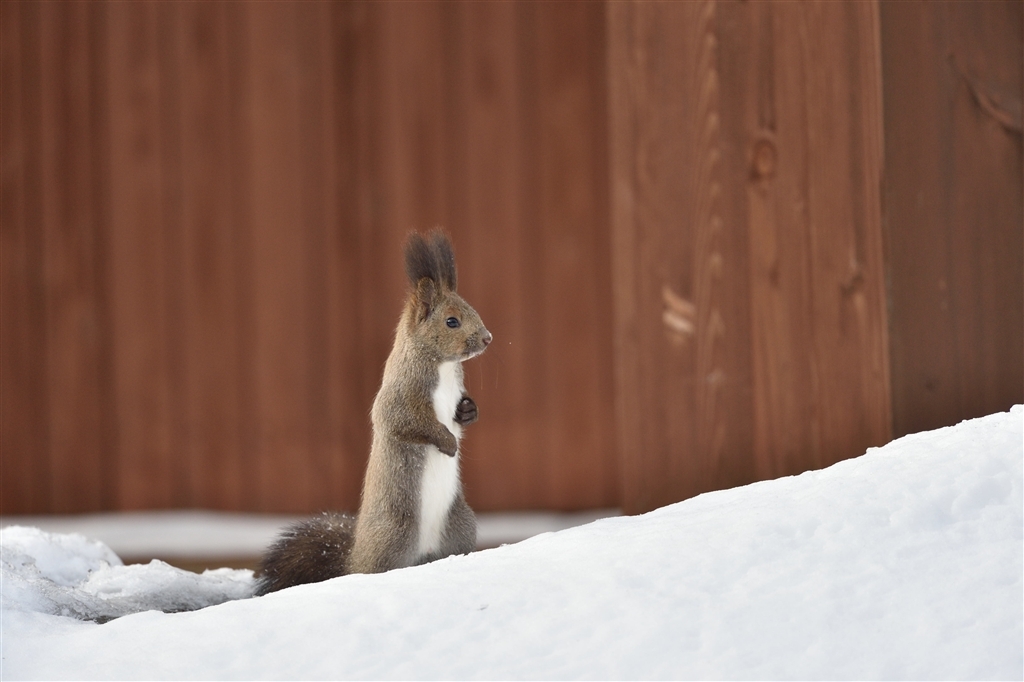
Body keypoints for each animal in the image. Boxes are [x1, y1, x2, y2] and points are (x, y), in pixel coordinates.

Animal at [258, 231, 493, 593]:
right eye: (451, 321)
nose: (488, 338)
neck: (442, 366)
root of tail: (353, 557)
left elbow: (460, 414)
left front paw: (468, 412)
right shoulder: (399, 396)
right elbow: (404, 421)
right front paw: (447, 442)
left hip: (461, 525)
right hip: (394, 534)